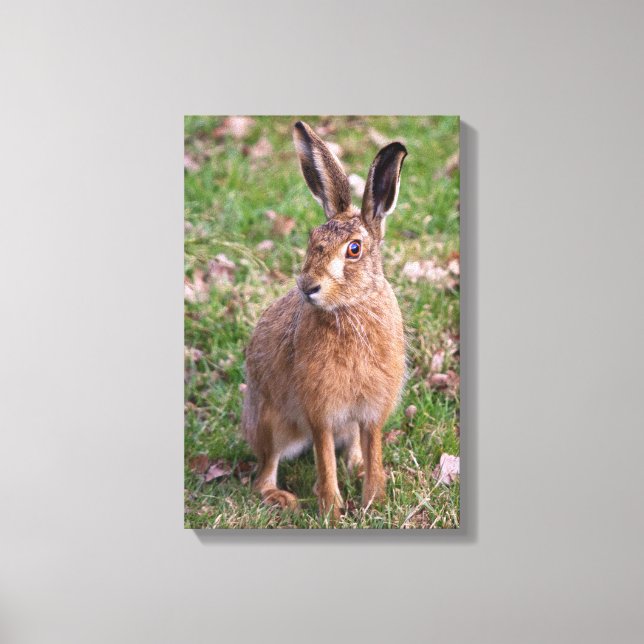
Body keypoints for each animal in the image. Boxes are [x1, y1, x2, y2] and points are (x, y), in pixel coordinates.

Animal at [241, 120, 407, 520]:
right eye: (312, 238)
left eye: (354, 249)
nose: (308, 286)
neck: (350, 308)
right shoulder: (319, 410)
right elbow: (323, 456)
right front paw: (332, 509)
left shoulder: (372, 411)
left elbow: (373, 447)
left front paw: (373, 501)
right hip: (273, 424)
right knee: (264, 473)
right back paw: (281, 498)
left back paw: (356, 466)